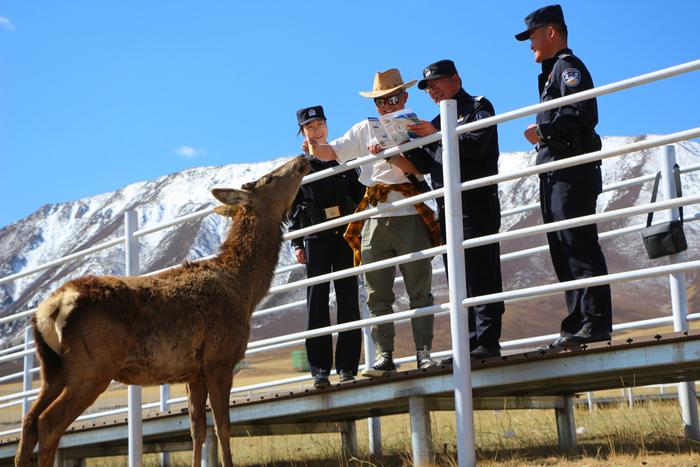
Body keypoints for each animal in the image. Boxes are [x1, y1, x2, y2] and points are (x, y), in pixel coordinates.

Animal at [15, 155, 310, 466]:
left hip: (53, 368)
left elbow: (197, 431)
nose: (302, 158)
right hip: (92, 367)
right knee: (48, 423)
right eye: (269, 179)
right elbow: (223, 427)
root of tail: (51, 308)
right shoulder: (219, 359)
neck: (244, 291)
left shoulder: (194, 371)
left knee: (29, 420)